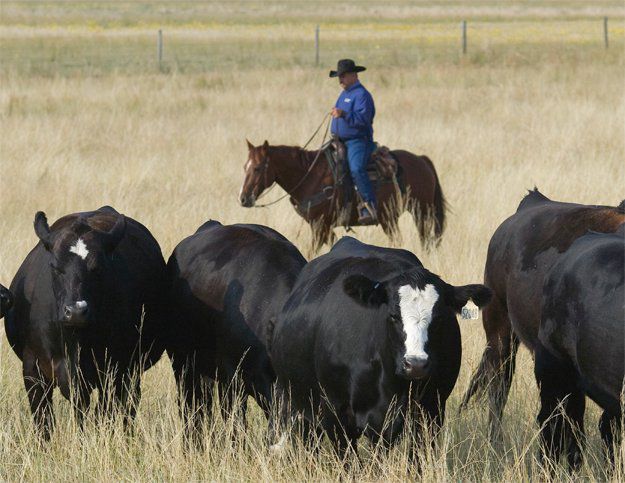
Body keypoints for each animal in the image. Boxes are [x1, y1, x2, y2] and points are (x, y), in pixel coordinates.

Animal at [5, 206, 166, 440]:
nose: (76, 311)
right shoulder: (33, 369)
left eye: (97, 267)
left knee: (127, 409)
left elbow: (103, 417)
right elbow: (44, 422)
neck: (74, 343)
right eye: (55, 266)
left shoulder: (114, 371)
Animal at [236, 139, 446, 253]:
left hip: (420, 212)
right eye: (244, 166)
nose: (243, 198)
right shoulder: (325, 227)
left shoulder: (319, 225)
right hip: (393, 217)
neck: (309, 176)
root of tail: (421, 160)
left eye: (257, 168)